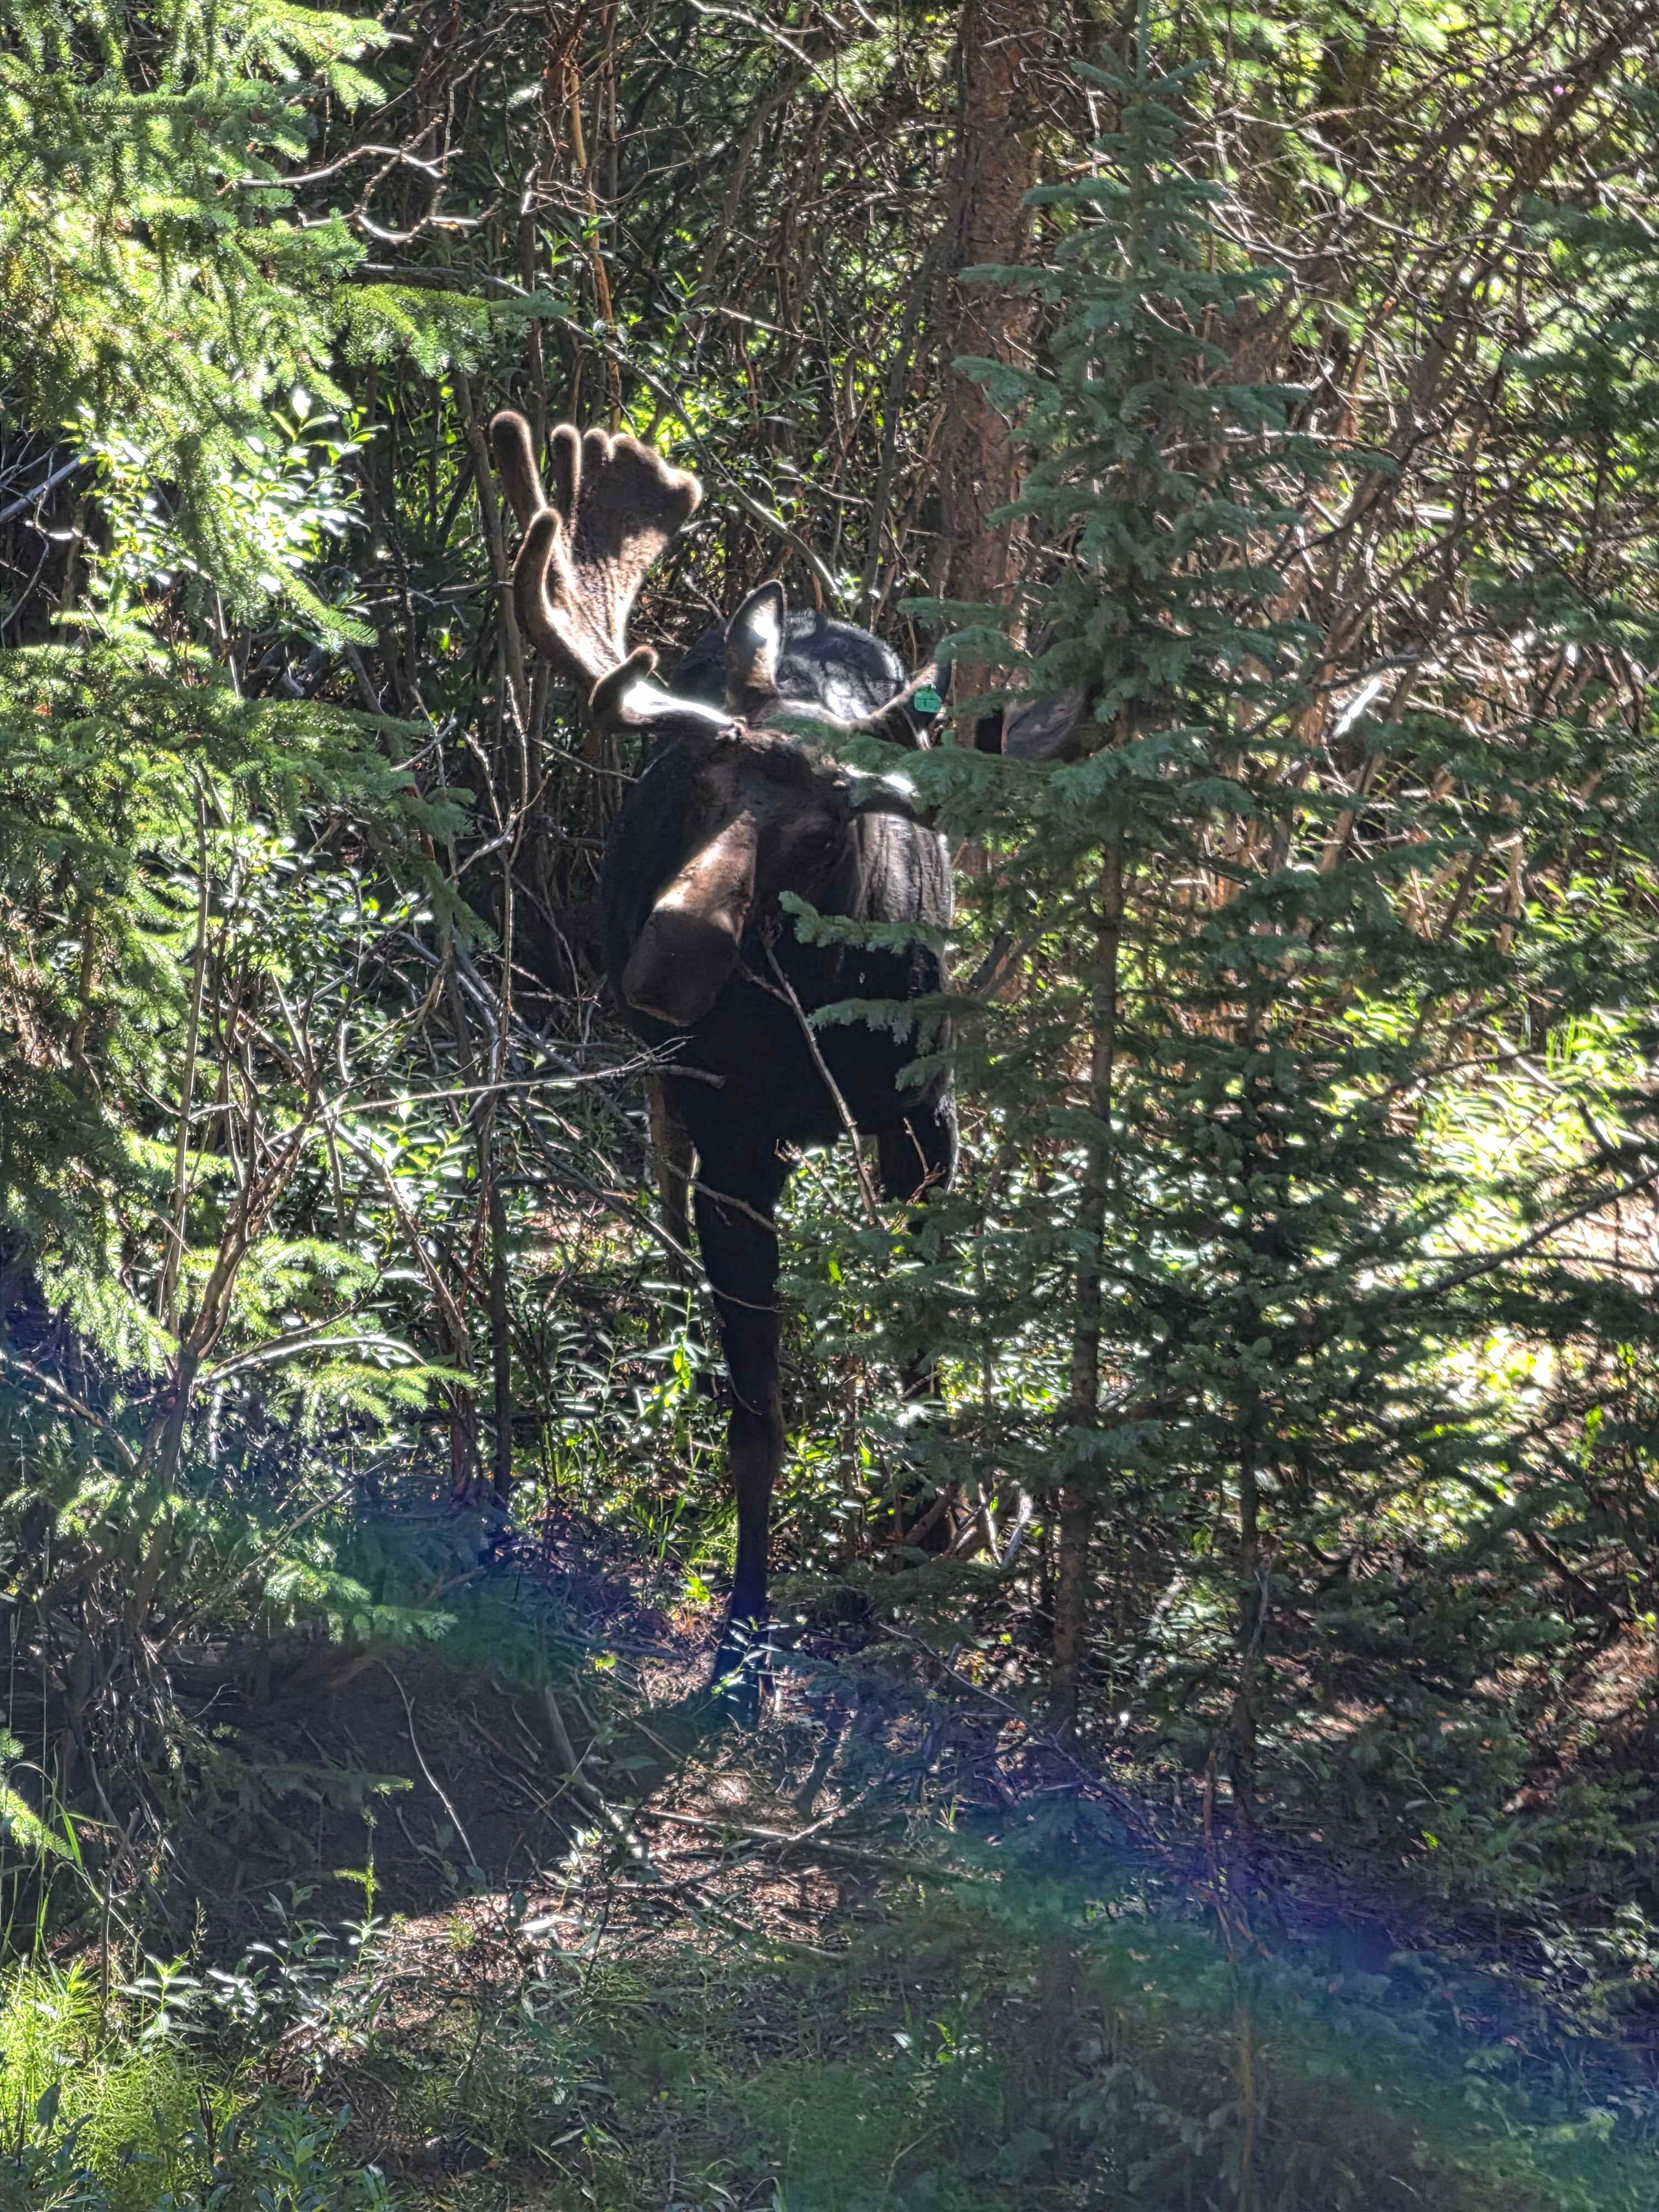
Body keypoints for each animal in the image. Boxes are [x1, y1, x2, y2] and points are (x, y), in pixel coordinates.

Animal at [489, 411, 956, 1703]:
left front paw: (930, 1526)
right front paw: (745, 1630)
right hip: (676, 1099)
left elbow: (926, 1343)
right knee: (660, 1167)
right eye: (699, 781)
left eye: (826, 826)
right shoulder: (737, 1141)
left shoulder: (924, 1119)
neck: (814, 1016)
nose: (667, 958)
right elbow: (758, 1413)